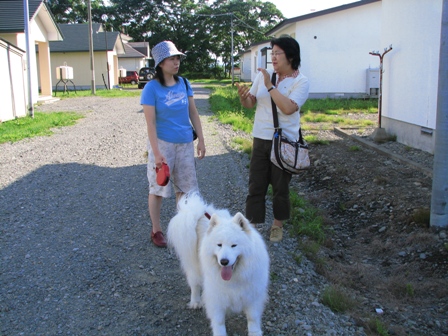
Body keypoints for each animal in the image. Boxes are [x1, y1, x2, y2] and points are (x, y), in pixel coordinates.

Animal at [166, 192, 268, 336]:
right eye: (219, 245)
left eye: (234, 245)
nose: (224, 261)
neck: (234, 278)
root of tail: (198, 213)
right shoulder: (216, 296)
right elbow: (219, 321)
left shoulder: (253, 294)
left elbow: (252, 317)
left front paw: (255, 332)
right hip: (194, 267)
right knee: (194, 285)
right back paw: (195, 302)